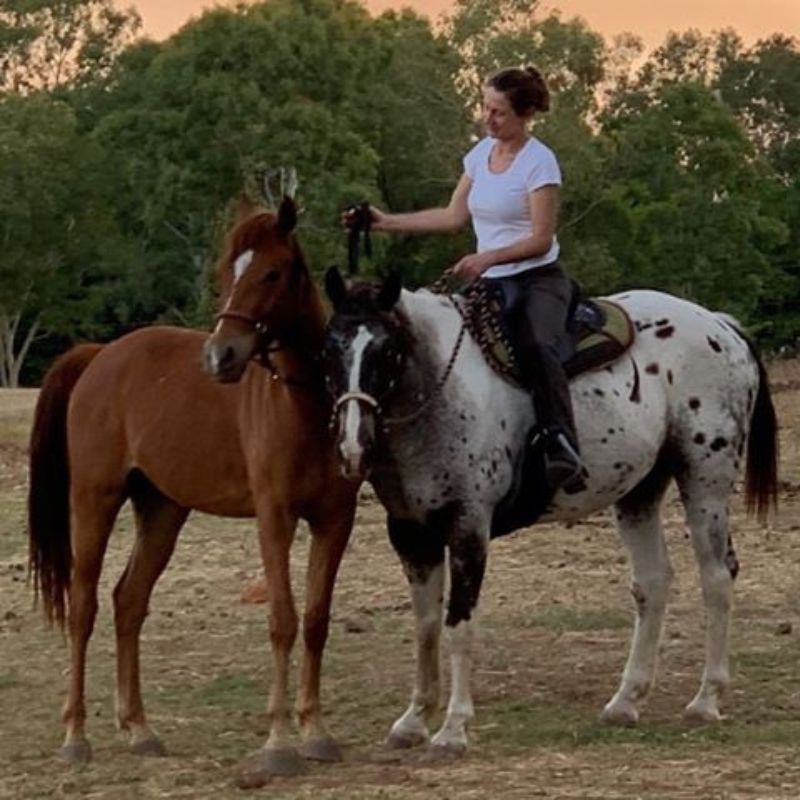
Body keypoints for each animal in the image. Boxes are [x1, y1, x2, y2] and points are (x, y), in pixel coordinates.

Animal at [28, 197, 358, 784]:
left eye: (273, 272)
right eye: (227, 272)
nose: (219, 357)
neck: (305, 408)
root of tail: (100, 355)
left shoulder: (334, 521)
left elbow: (316, 621)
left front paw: (316, 732)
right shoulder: (275, 519)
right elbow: (282, 620)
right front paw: (278, 743)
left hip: (162, 511)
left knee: (128, 601)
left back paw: (140, 729)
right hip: (94, 500)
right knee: (84, 606)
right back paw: (76, 736)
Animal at [322, 268, 780, 756]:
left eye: (385, 350)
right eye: (330, 348)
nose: (352, 446)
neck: (441, 391)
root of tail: (719, 324)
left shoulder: (469, 527)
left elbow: (459, 625)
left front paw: (453, 729)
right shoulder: (410, 533)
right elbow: (426, 626)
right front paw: (413, 721)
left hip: (705, 479)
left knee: (716, 578)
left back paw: (706, 699)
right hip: (639, 492)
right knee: (653, 584)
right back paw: (626, 701)